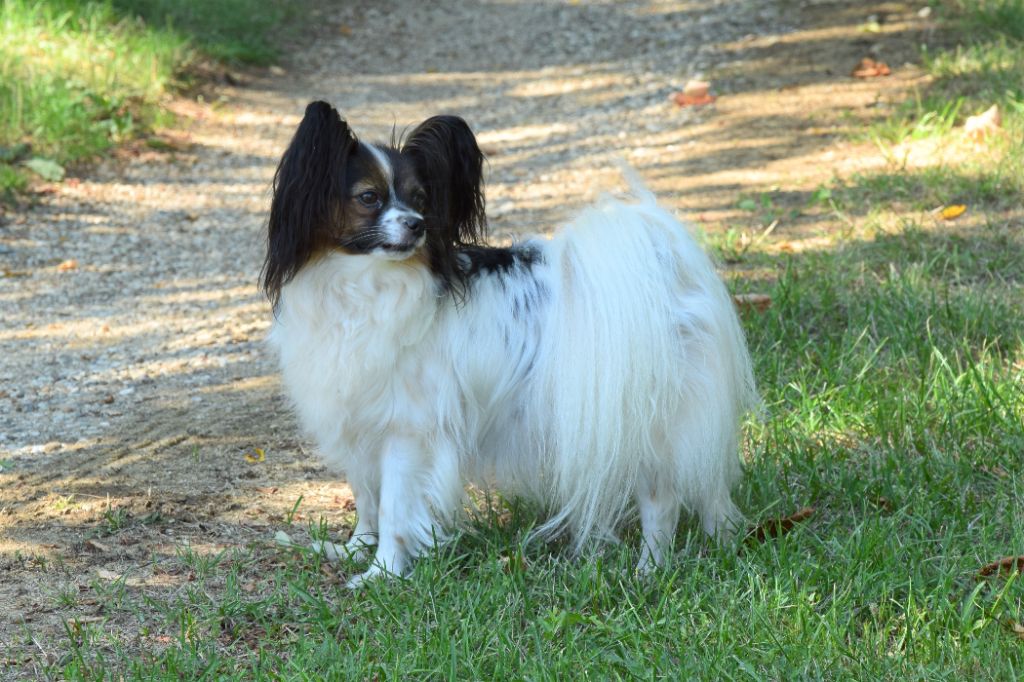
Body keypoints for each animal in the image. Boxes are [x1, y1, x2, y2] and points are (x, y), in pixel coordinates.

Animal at [263, 101, 757, 587]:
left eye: (421, 200)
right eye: (368, 198)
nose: (417, 226)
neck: (360, 286)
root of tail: (667, 263)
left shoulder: (408, 429)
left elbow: (395, 509)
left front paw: (381, 572)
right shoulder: (358, 421)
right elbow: (367, 497)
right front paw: (354, 549)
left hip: (646, 424)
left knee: (662, 499)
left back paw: (649, 569)